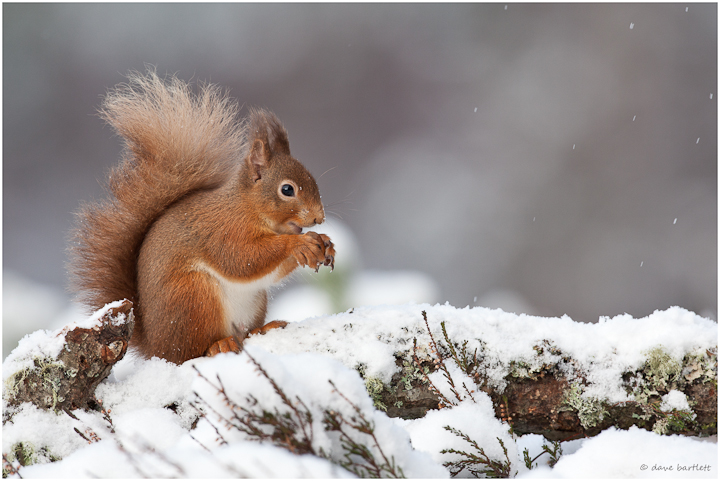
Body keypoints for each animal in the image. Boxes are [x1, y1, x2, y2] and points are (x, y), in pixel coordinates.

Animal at [68, 70, 335, 364]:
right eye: (287, 189)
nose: (319, 218)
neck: (248, 208)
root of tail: (156, 348)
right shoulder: (223, 230)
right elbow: (242, 259)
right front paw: (299, 244)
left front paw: (324, 242)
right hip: (194, 297)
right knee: (190, 351)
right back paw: (218, 345)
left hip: (250, 303)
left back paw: (263, 329)